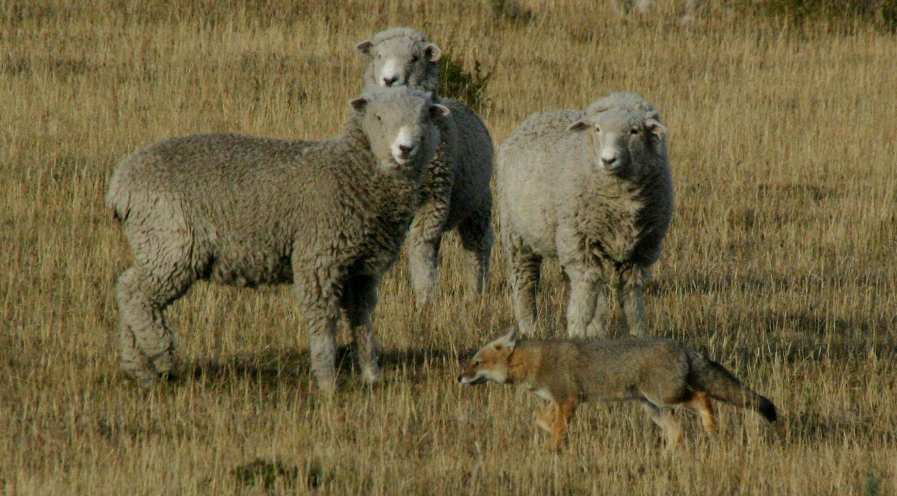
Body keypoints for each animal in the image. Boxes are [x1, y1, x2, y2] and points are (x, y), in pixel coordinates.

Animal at [458, 331, 778, 450]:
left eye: (476, 363)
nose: (459, 377)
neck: (536, 361)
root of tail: (682, 346)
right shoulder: (560, 400)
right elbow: (541, 419)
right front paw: (552, 438)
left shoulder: (568, 400)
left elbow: (558, 428)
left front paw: (555, 449)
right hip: (653, 407)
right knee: (677, 433)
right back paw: (665, 457)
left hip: (665, 397)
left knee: (703, 397)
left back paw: (710, 428)